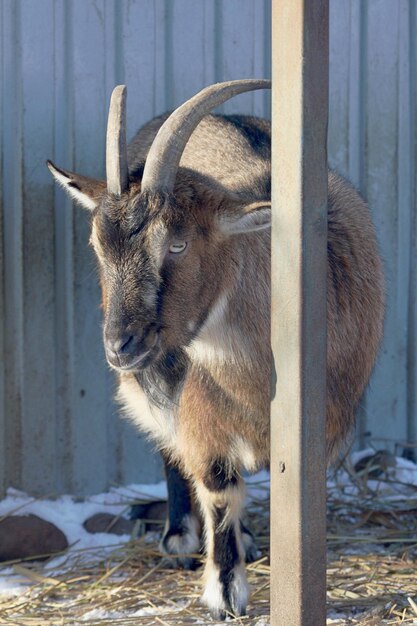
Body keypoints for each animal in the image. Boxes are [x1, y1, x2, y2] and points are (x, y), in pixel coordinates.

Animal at [46, 80, 384, 616]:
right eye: (97, 246)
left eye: (177, 245)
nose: (119, 346)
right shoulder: (202, 414)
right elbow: (218, 488)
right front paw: (226, 594)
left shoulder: (322, 429)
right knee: (170, 446)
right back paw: (182, 537)